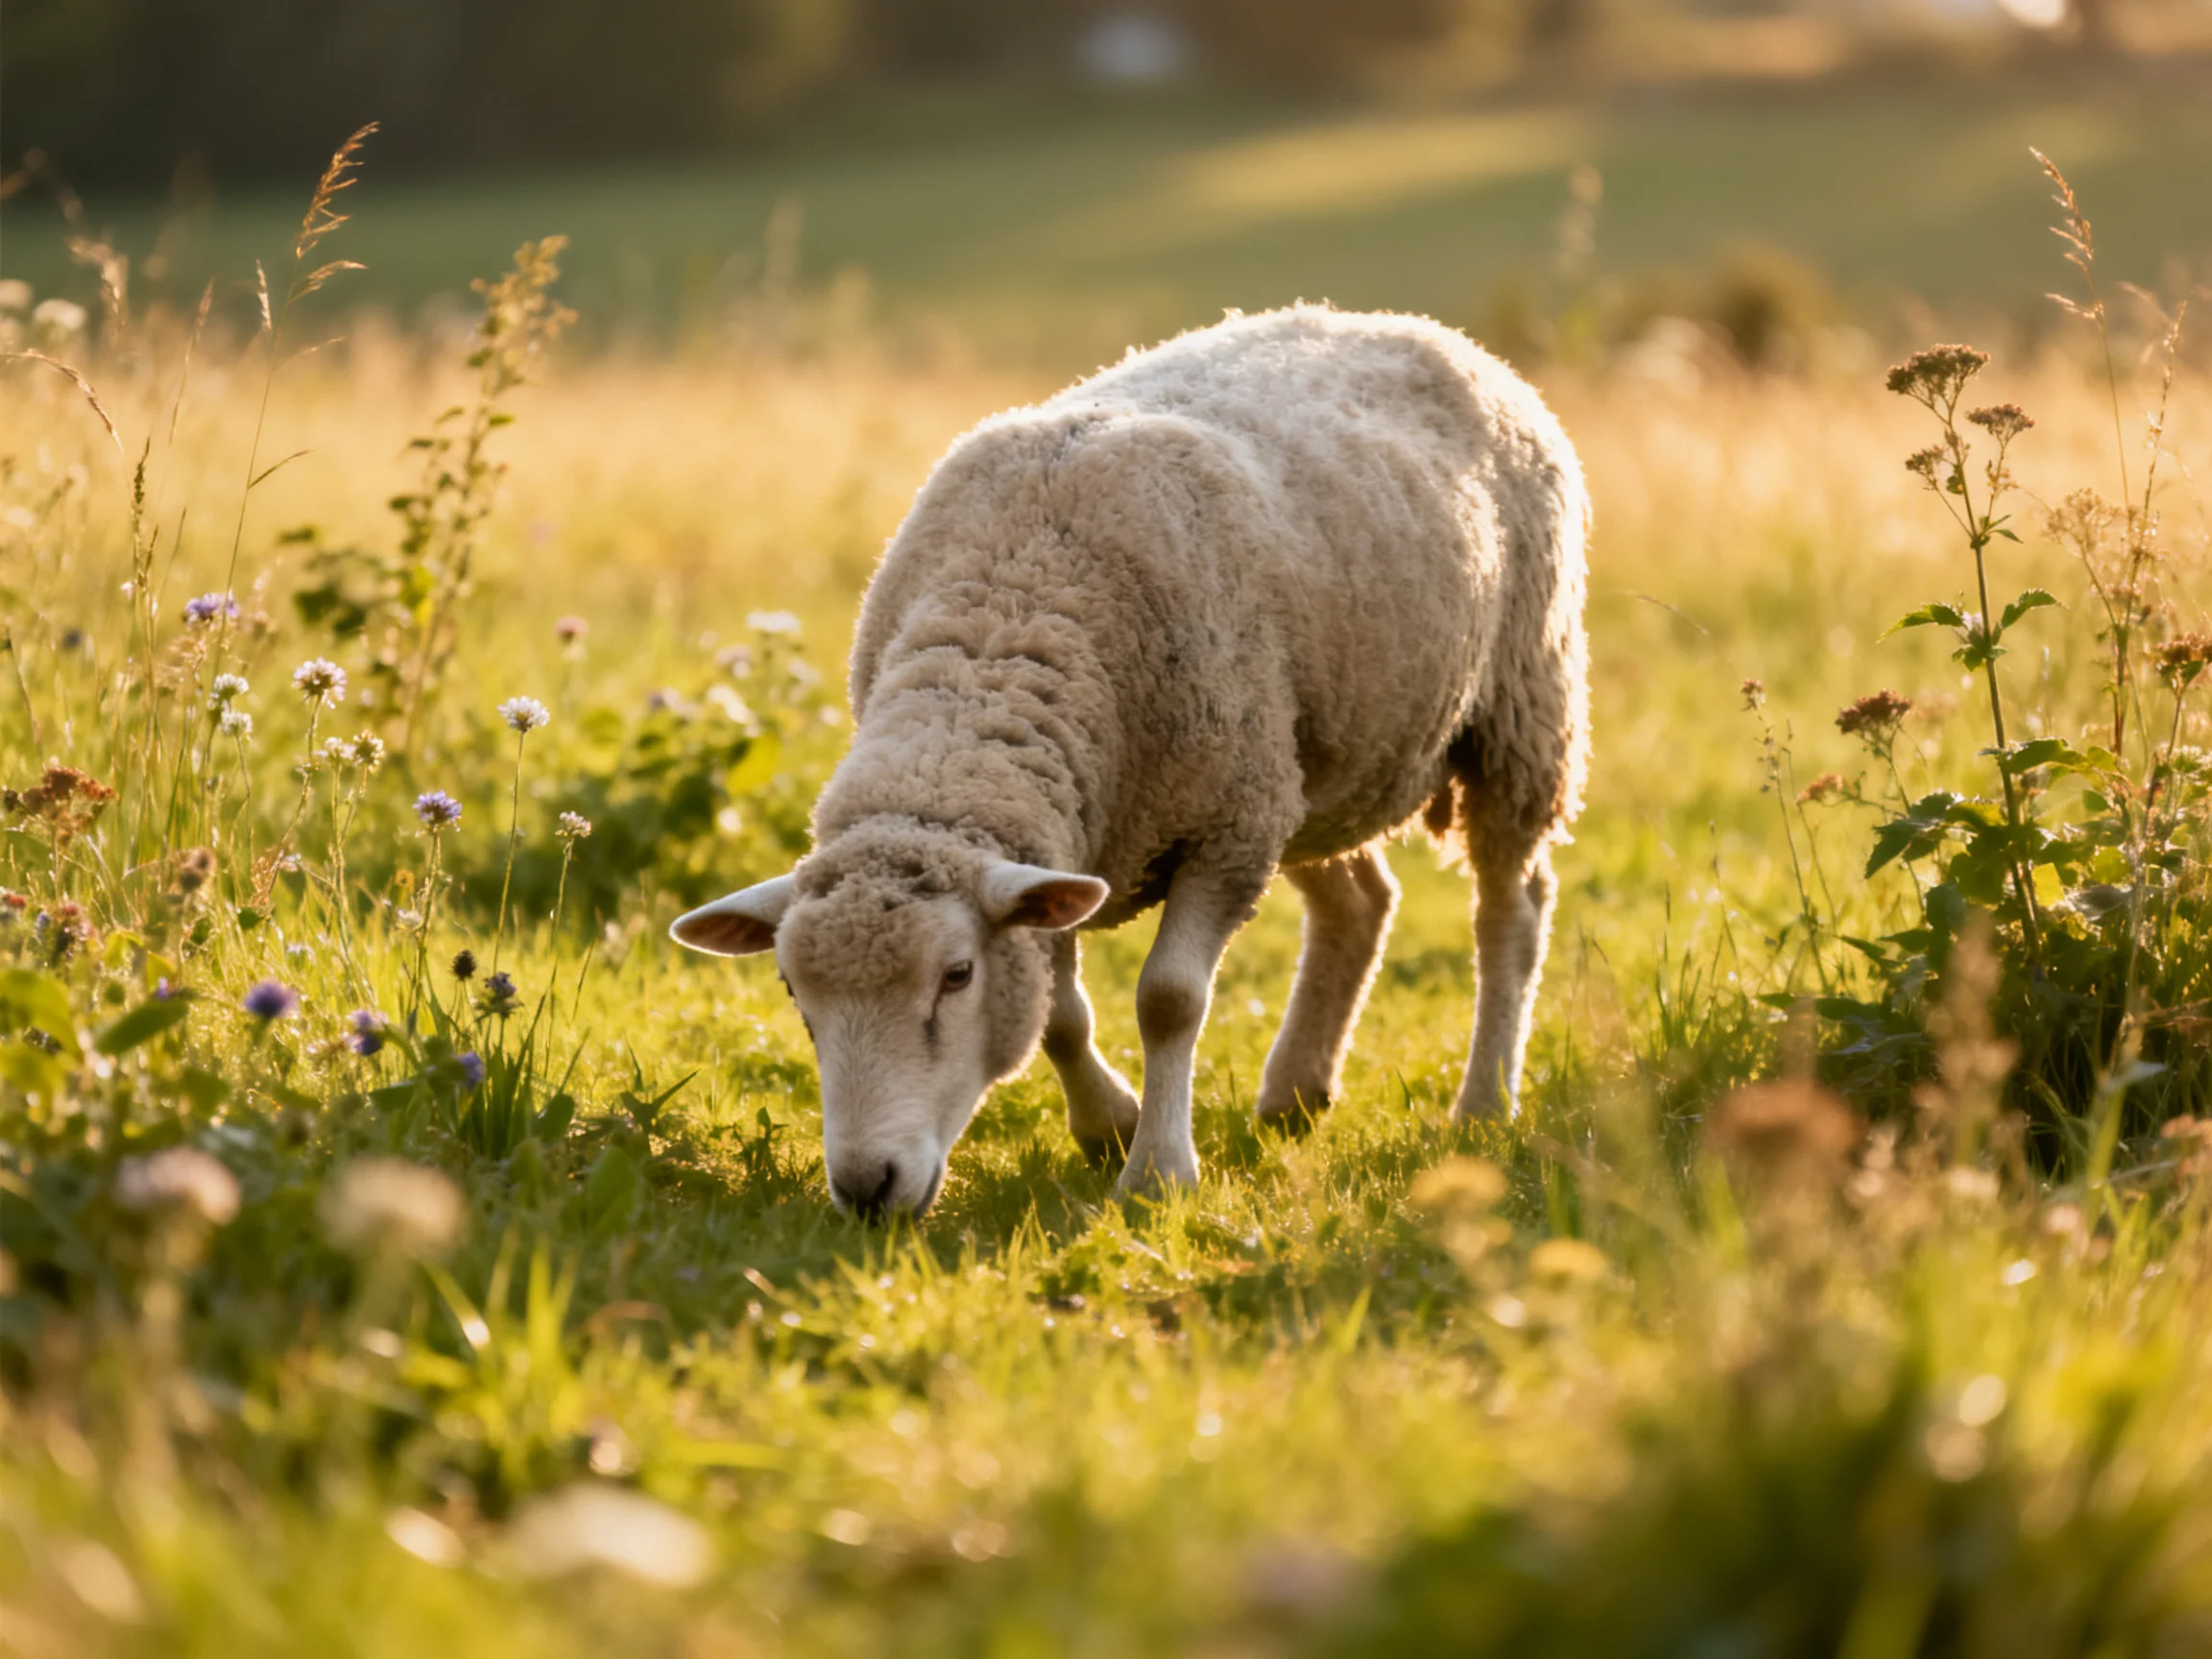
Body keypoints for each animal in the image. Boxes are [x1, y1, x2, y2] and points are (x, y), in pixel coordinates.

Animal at [673, 304, 1589, 1218]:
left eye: (957, 975)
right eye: (793, 990)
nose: (866, 1188)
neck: (1006, 618)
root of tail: (1409, 323)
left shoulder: (1223, 831)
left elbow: (1170, 999)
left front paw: (1156, 1171)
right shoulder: (1067, 840)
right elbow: (1059, 1015)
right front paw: (1107, 1124)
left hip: (1515, 713)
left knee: (1511, 911)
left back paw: (1483, 1102)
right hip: (1312, 764)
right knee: (1361, 904)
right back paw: (1296, 1092)